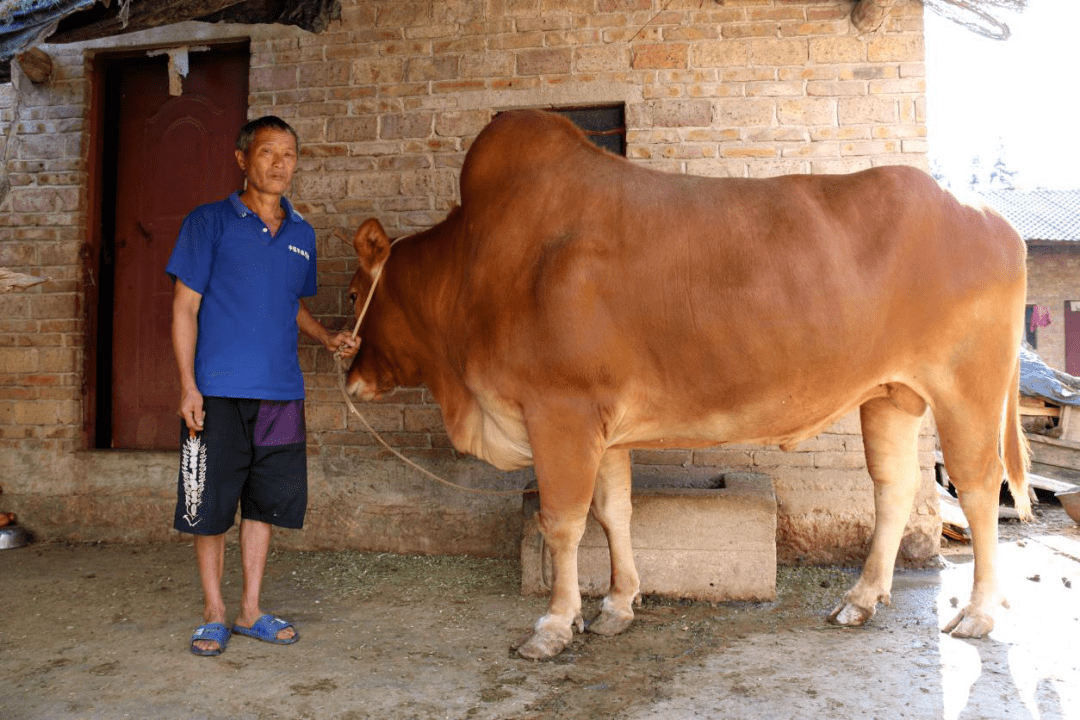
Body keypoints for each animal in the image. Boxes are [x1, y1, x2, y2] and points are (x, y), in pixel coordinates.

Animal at [343, 110, 1028, 660]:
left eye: (351, 294)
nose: (349, 380)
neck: (476, 265)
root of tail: (990, 217)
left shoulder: (559, 412)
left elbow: (561, 522)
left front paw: (555, 625)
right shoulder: (604, 427)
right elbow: (614, 512)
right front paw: (617, 605)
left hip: (967, 389)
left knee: (976, 489)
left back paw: (979, 612)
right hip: (889, 395)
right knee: (894, 489)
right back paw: (860, 598)